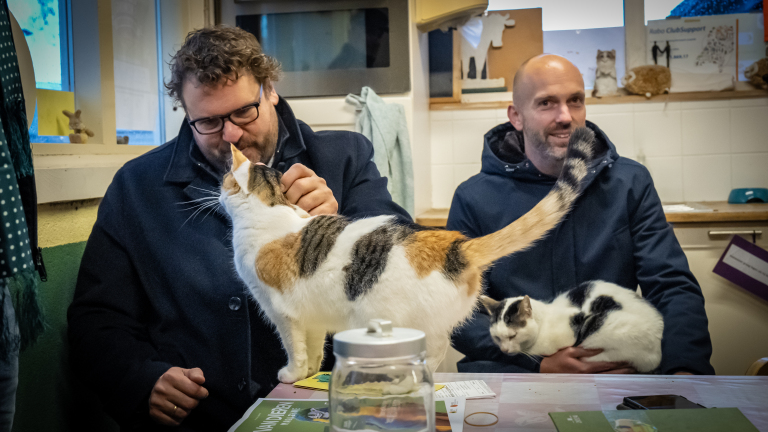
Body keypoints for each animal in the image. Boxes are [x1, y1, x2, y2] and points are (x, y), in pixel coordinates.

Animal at [219, 127, 596, 382]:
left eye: (225, 181)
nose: (218, 194)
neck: (270, 208)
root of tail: (452, 244)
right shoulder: (311, 317)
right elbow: (313, 348)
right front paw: (311, 373)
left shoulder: (283, 313)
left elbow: (294, 348)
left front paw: (292, 374)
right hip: (437, 325)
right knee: (434, 354)